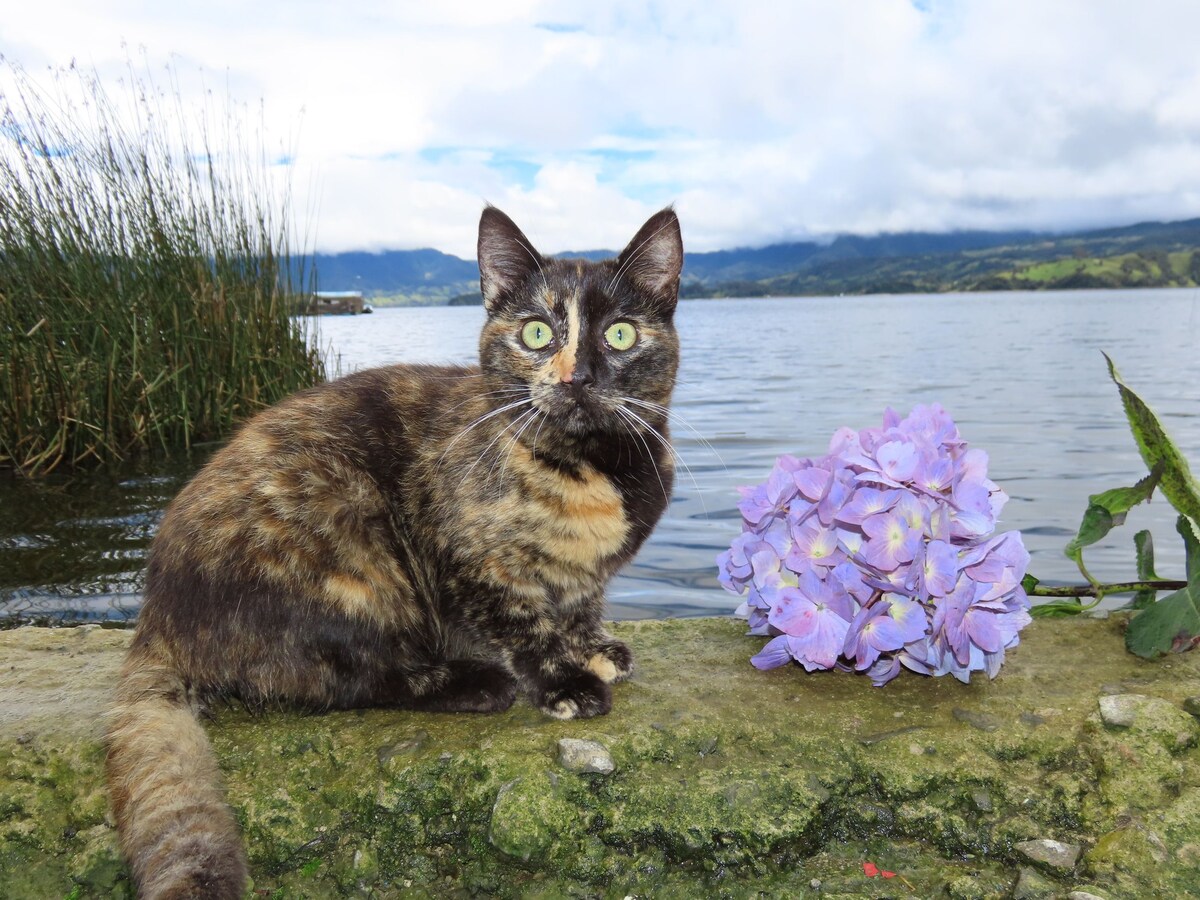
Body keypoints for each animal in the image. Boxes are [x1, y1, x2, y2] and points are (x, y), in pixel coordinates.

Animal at [106, 207, 681, 897]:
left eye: (620, 334)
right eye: (537, 332)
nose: (577, 378)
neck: (597, 465)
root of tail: (155, 618)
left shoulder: (583, 577)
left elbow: (580, 599)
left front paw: (594, 647)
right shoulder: (469, 559)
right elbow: (522, 622)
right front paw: (564, 679)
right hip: (353, 542)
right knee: (344, 679)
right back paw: (472, 683)